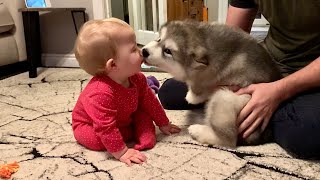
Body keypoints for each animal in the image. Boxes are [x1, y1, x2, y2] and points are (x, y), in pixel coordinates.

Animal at [141, 20, 282, 147]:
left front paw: (192, 96)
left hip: (224, 98)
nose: (144, 51)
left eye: (168, 51)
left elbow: (200, 86)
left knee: (228, 140)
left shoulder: (211, 77)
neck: (204, 40)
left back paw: (197, 131)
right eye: (159, 39)